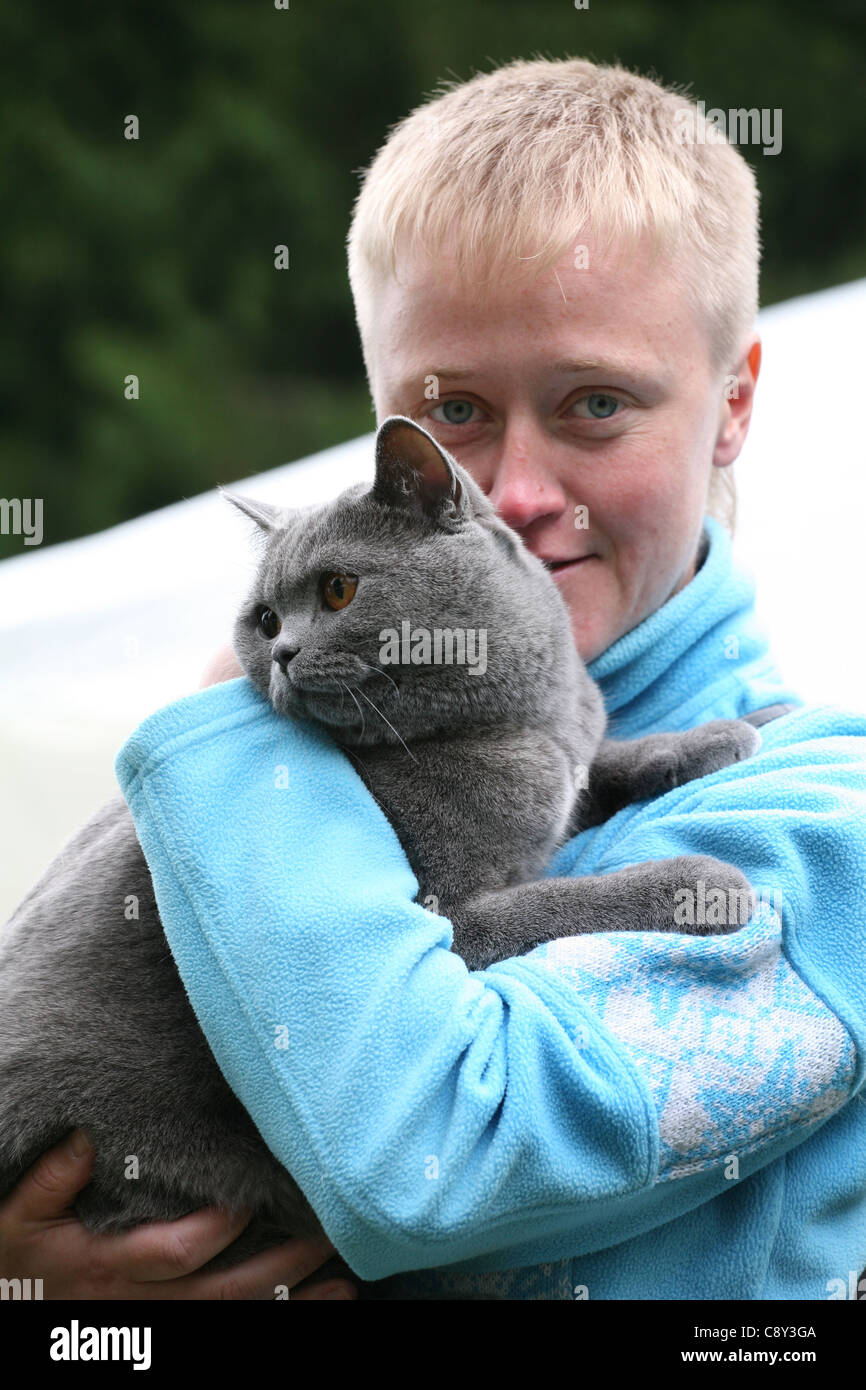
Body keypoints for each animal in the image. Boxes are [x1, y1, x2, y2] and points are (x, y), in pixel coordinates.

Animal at [0, 414, 756, 1289]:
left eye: (337, 590)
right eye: (264, 619)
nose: (283, 651)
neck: (513, 726)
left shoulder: (563, 753)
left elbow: (600, 760)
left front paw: (723, 734)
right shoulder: (449, 920)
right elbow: (555, 898)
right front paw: (700, 881)